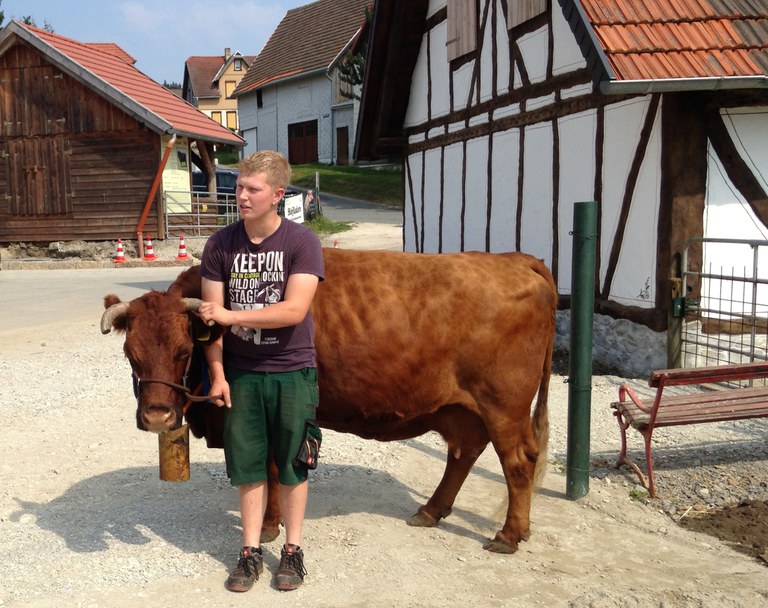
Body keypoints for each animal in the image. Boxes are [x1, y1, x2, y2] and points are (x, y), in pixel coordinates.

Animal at [103, 249, 560, 552]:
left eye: (183, 351)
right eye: (131, 354)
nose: (157, 416)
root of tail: (516, 258)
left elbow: (272, 470)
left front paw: (268, 525)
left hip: (503, 408)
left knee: (518, 463)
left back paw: (509, 535)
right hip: (464, 410)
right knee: (464, 454)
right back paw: (431, 511)